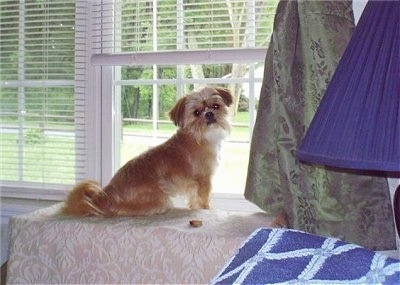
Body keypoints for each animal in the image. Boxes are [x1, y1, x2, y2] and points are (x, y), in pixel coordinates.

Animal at [61, 85, 233, 216]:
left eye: (216, 106)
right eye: (197, 112)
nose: (209, 114)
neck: (198, 136)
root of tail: (106, 194)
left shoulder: (194, 185)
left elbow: (193, 199)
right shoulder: (204, 179)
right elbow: (203, 199)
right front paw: (206, 210)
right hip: (161, 198)